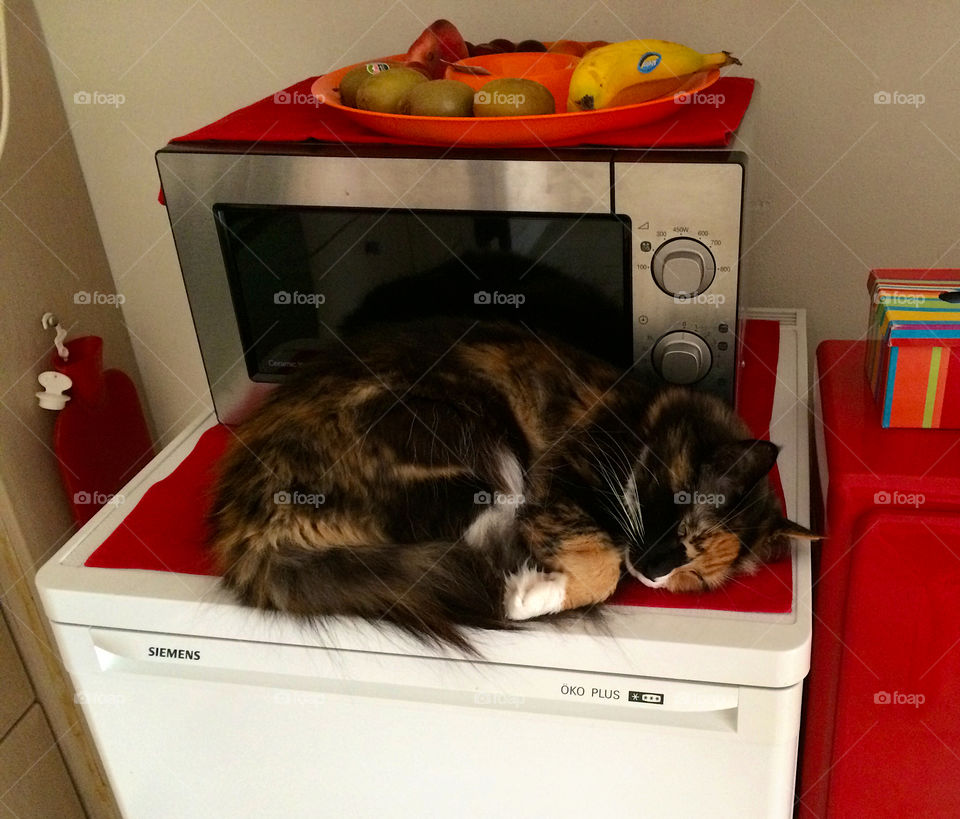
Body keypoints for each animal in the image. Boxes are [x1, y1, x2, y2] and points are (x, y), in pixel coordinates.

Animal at [206, 318, 812, 648]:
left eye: (696, 576)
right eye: (682, 528)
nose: (658, 574)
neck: (643, 422)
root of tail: (251, 525)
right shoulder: (560, 480)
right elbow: (603, 567)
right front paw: (526, 598)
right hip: (477, 443)